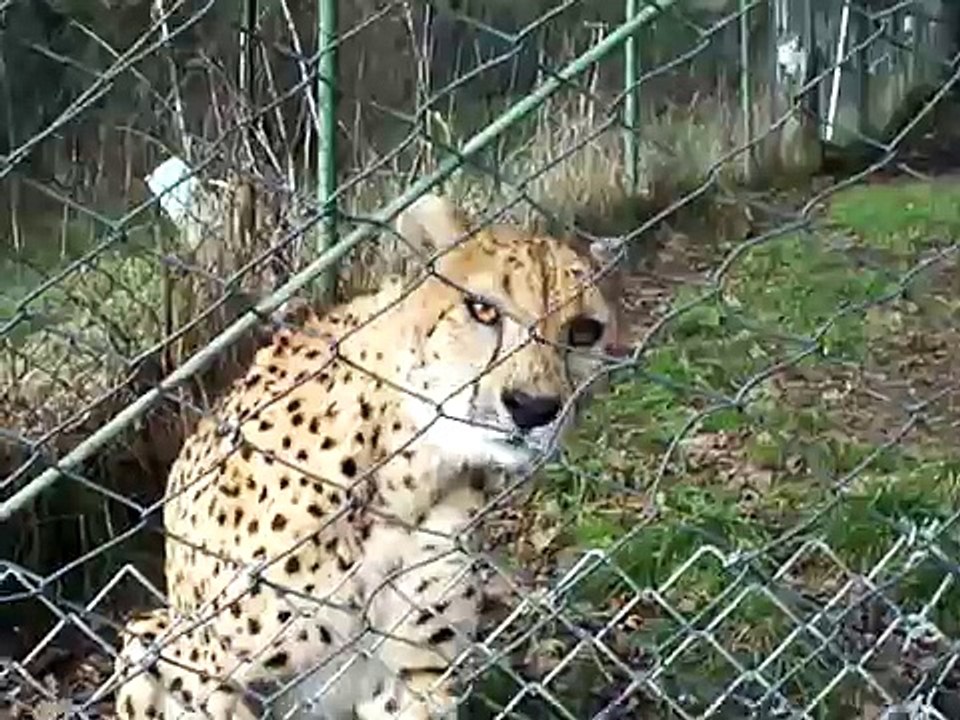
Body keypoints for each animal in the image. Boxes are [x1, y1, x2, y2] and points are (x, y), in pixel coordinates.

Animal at [111, 192, 620, 719]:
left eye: (584, 332)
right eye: (481, 310)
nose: (532, 408)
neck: (409, 472)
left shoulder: (413, 681)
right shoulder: (207, 671)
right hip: (148, 637)